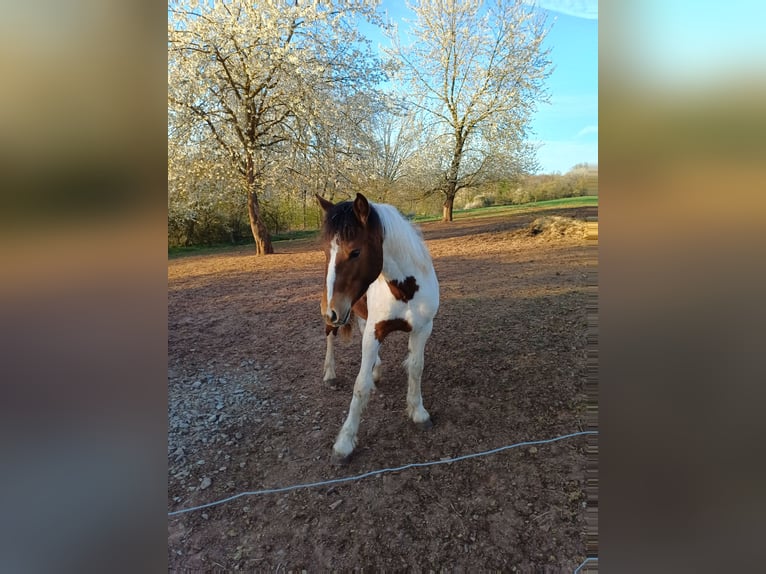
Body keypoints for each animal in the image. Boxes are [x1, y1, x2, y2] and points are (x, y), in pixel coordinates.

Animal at [316, 192, 440, 463]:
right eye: (326, 252)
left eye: (355, 251)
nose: (333, 310)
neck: (405, 290)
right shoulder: (375, 332)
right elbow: (360, 386)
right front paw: (344, 444)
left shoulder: (422, 329)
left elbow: (416, 368)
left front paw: (418, 412)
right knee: (329, 336)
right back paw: (329, 374)